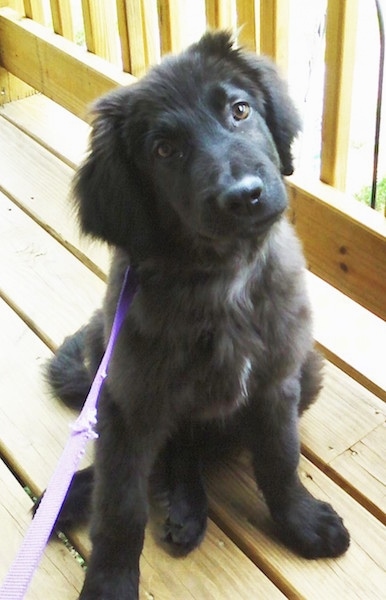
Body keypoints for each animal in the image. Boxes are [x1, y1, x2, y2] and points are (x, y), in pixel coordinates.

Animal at [46, 31, 350, 596]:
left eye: (240, 110)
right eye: (164, 150)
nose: (244, 196)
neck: (223, 281)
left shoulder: (277, 382)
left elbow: (281, 460)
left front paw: (299, 521)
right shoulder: (127, 402)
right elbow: (119, 504)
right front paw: (110, 580)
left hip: (310, 370)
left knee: (190, 450)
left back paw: (186, 508)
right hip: (104, 349)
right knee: (158, 455)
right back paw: (72, 497)